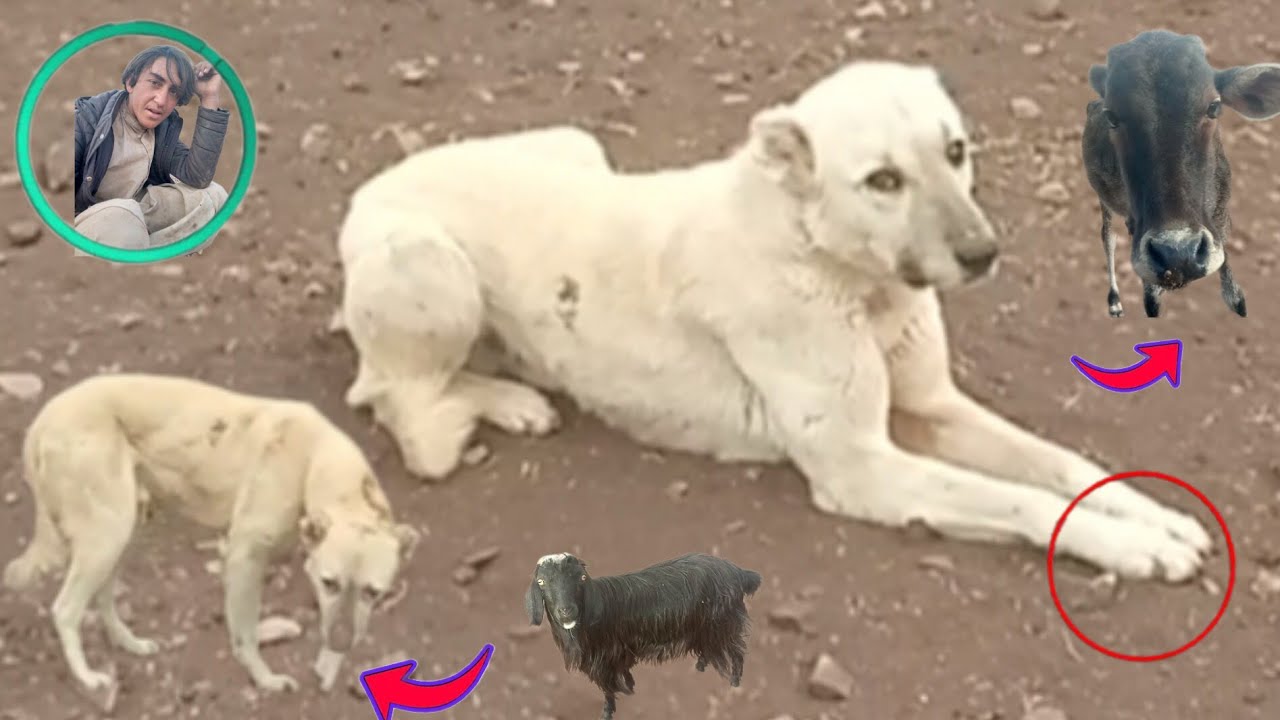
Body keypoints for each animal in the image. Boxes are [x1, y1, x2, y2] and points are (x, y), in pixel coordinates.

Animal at [523, 551, 762, 719]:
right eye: (542, 582)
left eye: (581, 578)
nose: (566, 611)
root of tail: (737, 572)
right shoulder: (618, 653)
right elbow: (624, 674)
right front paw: (630, 687)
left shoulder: (604, 660)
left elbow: (608, 689)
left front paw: (607, 713)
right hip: (706, 628)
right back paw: (701, 666)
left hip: (723, 625)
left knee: (738, 652)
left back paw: (734, 683)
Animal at [1082, 29, 1280, 318]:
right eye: (1111, 116)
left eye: (1213, 106)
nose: (1178, 254)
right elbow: (1150, 298)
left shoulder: (1221, 215)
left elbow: (1233, 291)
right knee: (1108, 237)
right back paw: (1115, 301)